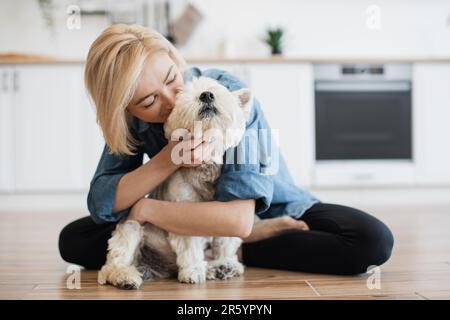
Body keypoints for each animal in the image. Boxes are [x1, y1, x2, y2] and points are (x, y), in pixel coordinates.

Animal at [98, 76, 251, 288]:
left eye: (216, 88)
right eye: (183, 94)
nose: (206, 95)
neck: (204, 167)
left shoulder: (228, 210)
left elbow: (225, 242)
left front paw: (225, 262)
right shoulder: (184, 212)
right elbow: (190, 246)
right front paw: (193, 271)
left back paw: (216, 268)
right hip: (131, 227)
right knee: (112, 263)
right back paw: (124, 277)